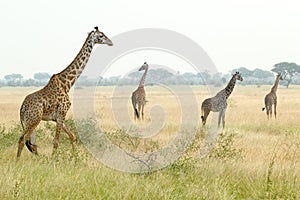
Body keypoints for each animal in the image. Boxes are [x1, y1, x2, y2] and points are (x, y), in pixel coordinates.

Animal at [16, 27, 112, 161]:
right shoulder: (62, 113)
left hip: (29, 121)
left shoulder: (57, 117)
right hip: (34, 120)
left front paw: (76, 159)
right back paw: (17, 163)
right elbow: (56, 141)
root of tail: (22, 108)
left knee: (32, 144)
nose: (110, 42)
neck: (67, 84)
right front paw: (54, 160)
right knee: (23, 139)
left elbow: (72, 136)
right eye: (101, 35)